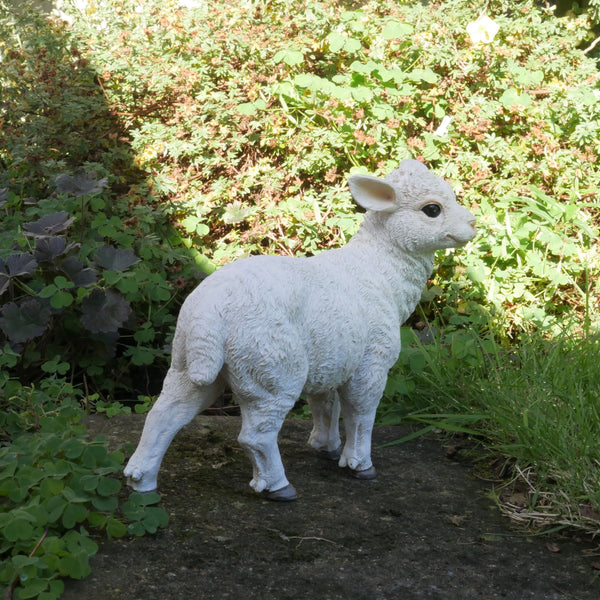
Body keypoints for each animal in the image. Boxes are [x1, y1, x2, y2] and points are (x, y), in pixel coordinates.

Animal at [124, 159, 476, 502]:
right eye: (432, 209)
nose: (473, 224)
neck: (379, 270)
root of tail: (208, 313)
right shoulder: (370, 362)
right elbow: (361, 414)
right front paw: (359, 464)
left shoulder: (331, 359)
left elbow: (326, 405)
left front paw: (326, 447)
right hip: (271, 366)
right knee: (255, 436)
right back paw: (279, 487)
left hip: (192, 363)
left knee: (164, 415)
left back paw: (141, 482)